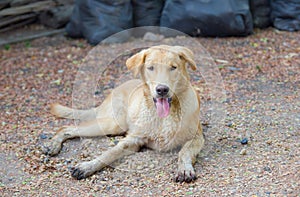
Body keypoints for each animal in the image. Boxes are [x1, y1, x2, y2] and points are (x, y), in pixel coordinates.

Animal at [43, 45, 205, 183]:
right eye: (150, 68)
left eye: (173, 67)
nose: (162, 90)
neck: (164, 117)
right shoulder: (133, 139)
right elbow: (109, 153)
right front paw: (88, 166)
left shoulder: (196, 137)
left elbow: (184, 152)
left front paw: (184, 169)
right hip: (113, 124)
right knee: (67, 128)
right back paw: (52, 144)